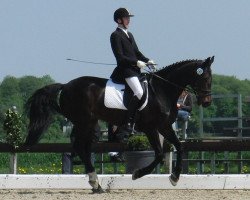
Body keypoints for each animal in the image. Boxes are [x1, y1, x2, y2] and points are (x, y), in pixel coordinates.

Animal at [24, 56, 214, 192]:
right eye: (205, 78)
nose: (207, 102)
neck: (161, 91)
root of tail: (66, 86)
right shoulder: (151, 128)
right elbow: (159, 154)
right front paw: (138, 174)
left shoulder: (164, 126)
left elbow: (179, 147)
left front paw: (174, 178)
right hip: (84, 122)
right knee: (79, 147)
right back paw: (95, 183)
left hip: (89, 123)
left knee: (84, 148)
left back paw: (96, 184)